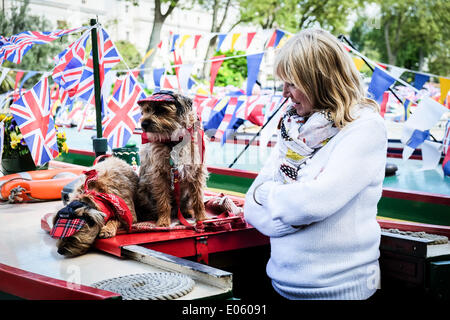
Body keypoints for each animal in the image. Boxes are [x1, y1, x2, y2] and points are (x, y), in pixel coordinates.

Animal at [136, 90, 208, 228]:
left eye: (161, 110)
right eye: (145, 110)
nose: (143, 123)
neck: (174, 141)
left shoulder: (197, 172)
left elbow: (198, 199)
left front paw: (202, 219)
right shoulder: (159, 175)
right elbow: (163, 201)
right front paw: (163, 222)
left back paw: (186, 212)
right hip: (143, 190)